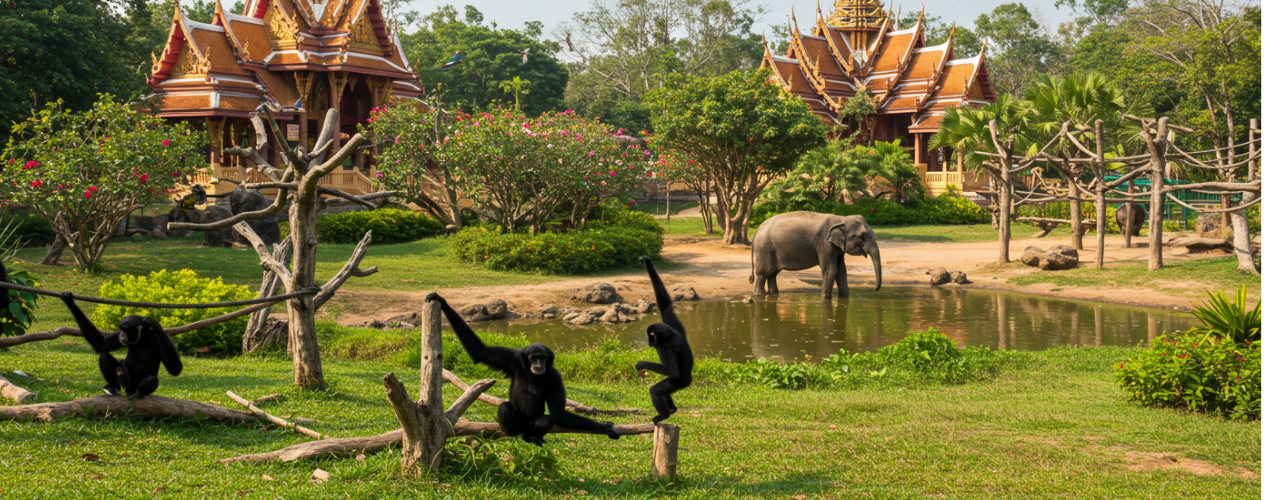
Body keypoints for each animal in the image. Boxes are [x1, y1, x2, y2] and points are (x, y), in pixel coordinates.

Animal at [747, 210, 880, 297]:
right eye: (862, 236)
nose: (874, 290)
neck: (842, 218)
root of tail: (757, 229)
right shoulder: (824, 243)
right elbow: (830, 269)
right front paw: (825, 299)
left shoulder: (837, 247)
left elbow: (842, 270)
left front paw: (844, 298)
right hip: (764, 249)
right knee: (763, 274)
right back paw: (759, 295)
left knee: (772, 274)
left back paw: (774, 294)